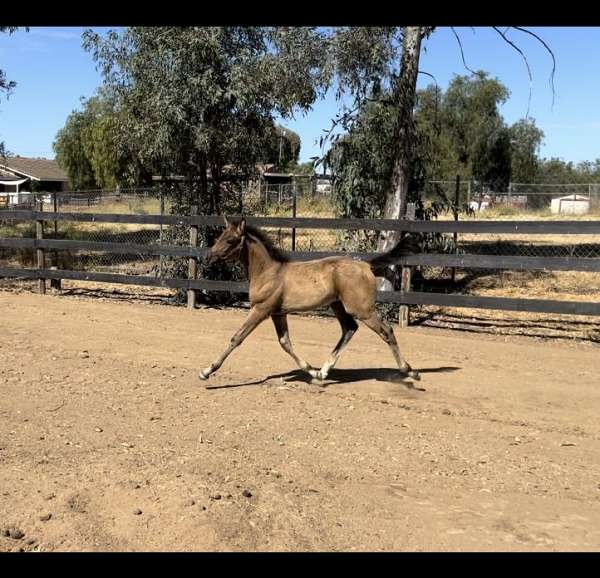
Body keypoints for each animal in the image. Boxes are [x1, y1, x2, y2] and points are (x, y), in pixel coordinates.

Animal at [199, 216, 420, 382]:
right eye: (220, 236)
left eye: (230, 240)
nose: (207, 257)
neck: (268, 272)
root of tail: (366, 265)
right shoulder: (278, 313)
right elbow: (285, 343)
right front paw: (312, 371)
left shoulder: (261, 310)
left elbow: (237, 337)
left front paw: (206, 371)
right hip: (338, 305)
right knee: (349, 329)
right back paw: (323, 372)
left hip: (362, 309)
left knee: (387, 331)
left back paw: (410, 371)